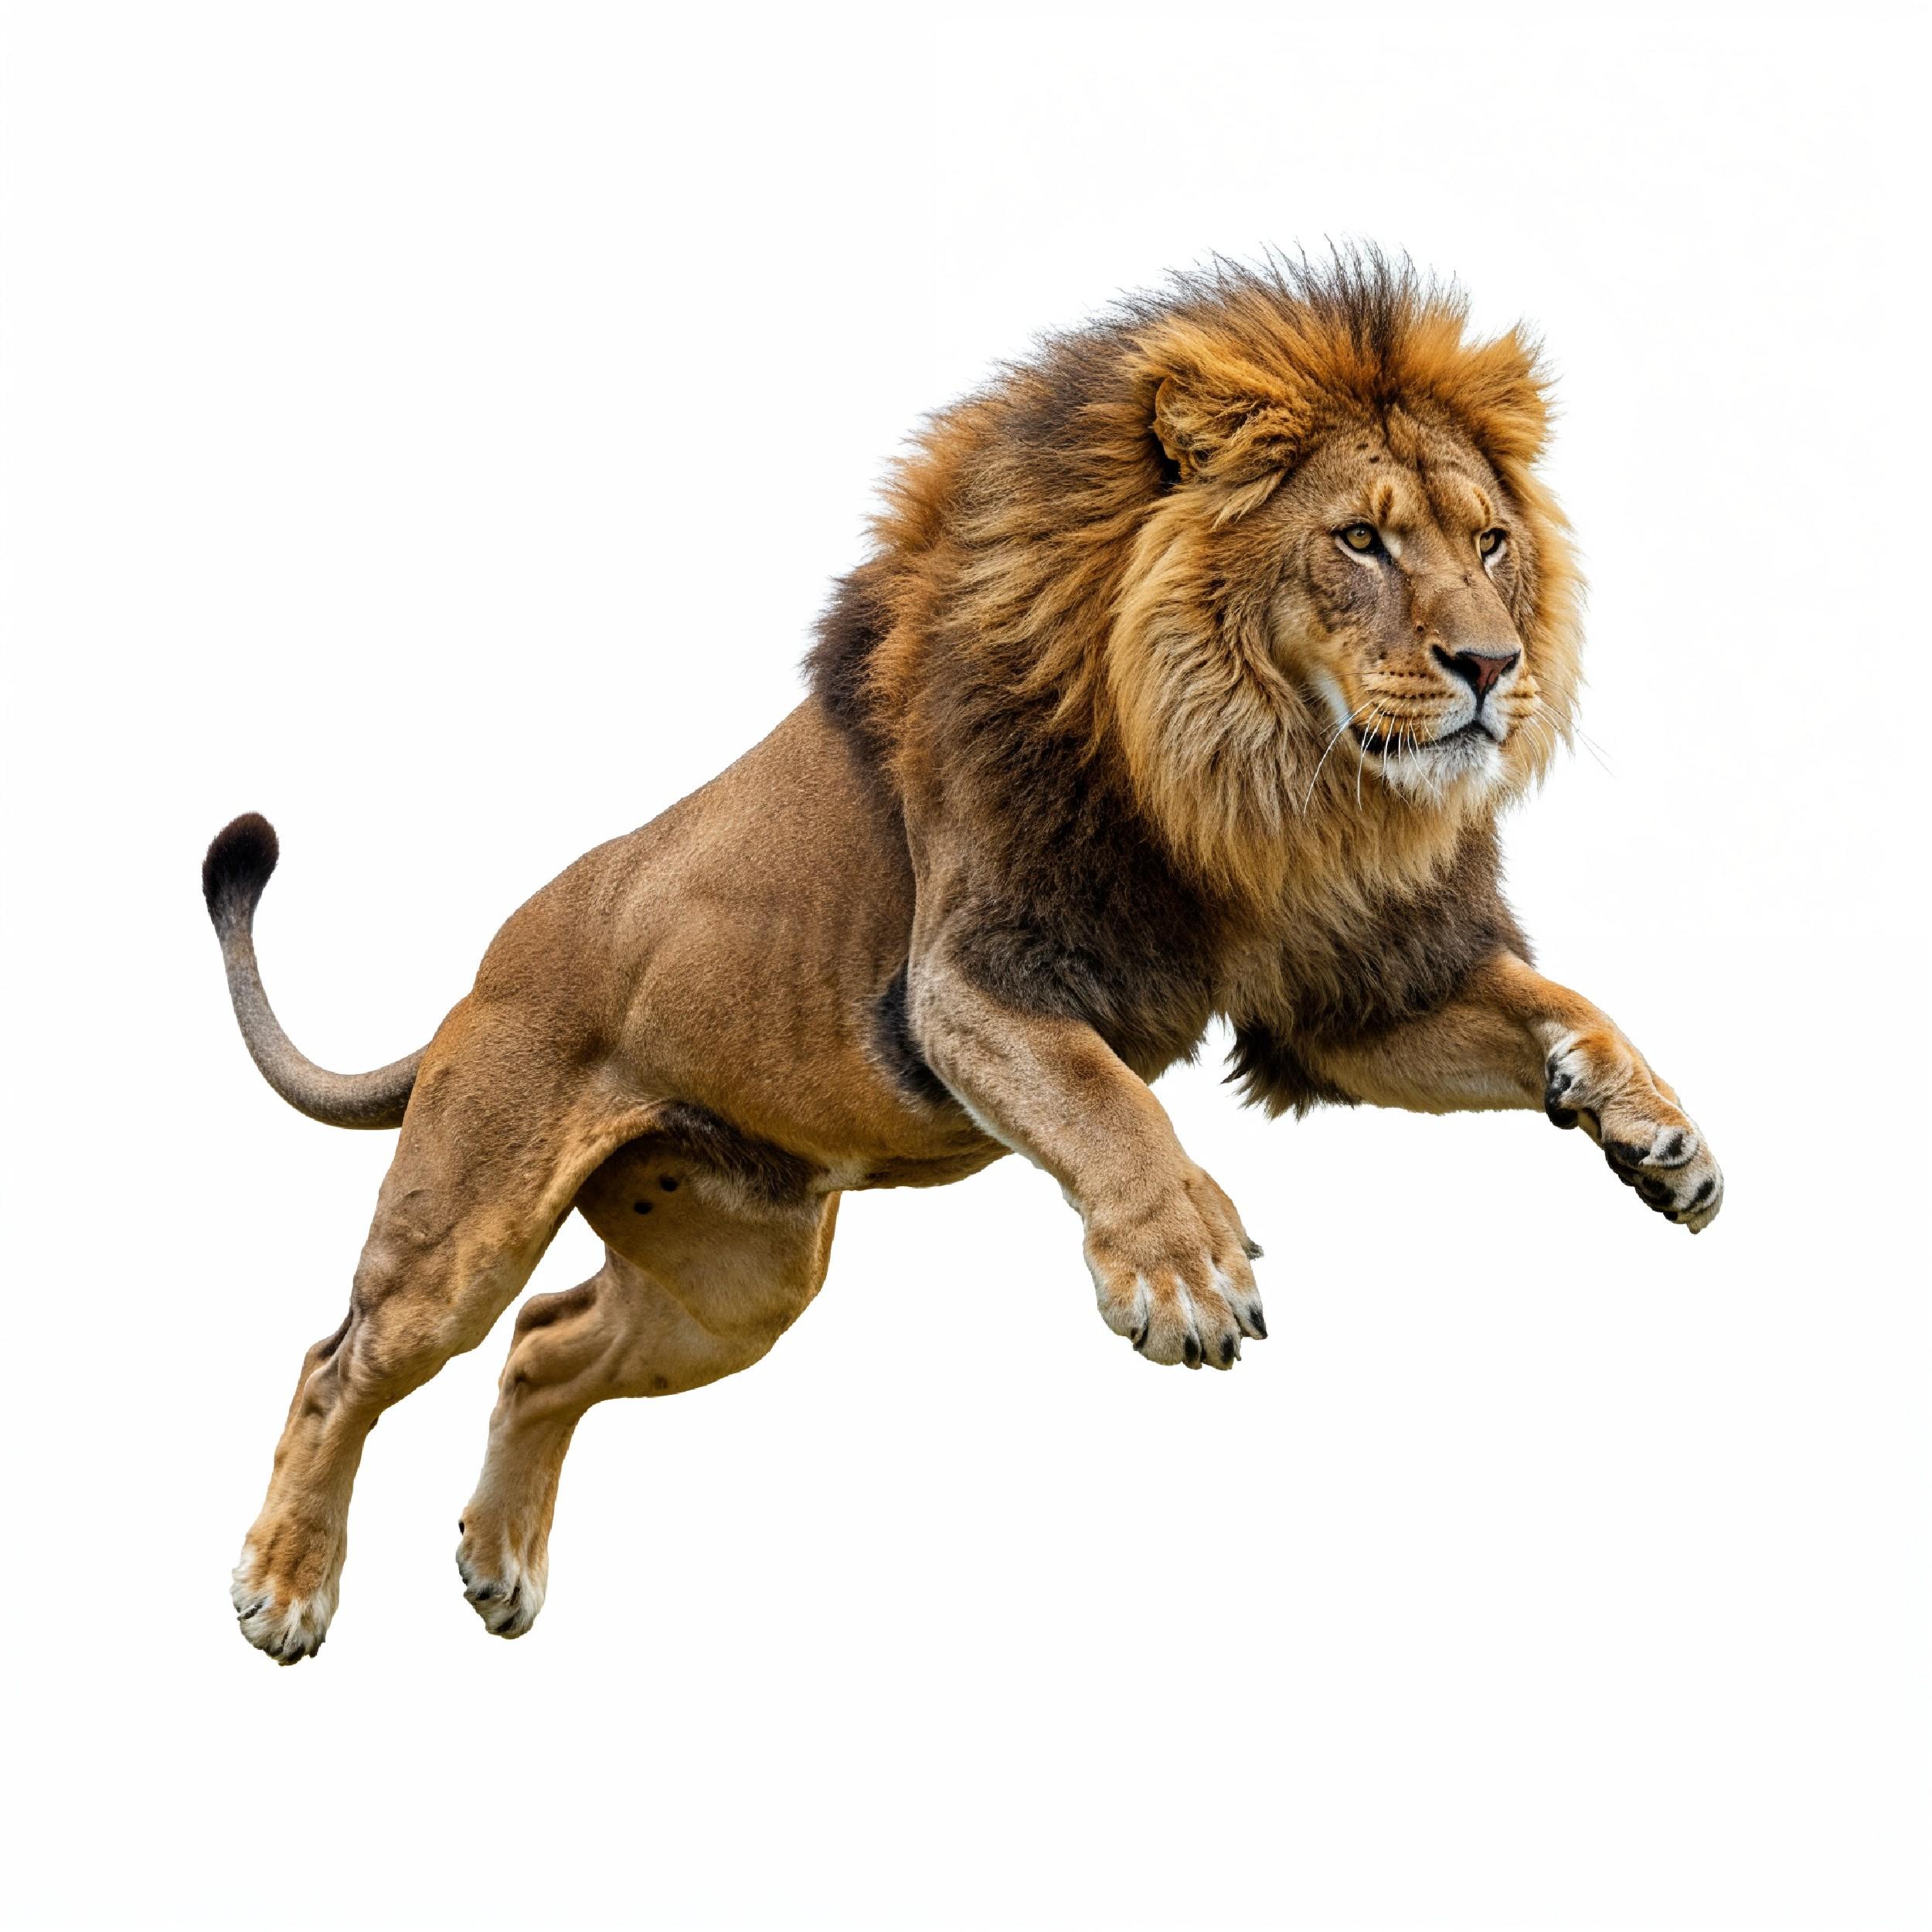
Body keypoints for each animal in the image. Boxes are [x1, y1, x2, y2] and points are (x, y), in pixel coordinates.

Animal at [205, 252, 1722, 1663]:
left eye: (1490, 541)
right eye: (1359, 539)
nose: (1493, 667)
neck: (1263, 779)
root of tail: (481, 971)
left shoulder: (1354, 1000)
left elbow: (1555, 1003)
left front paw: (1653, 1128)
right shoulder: (971, 982)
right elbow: (1115, 1105)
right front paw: (1182, 1272)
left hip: (739, 1282)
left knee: (542, 1348)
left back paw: (499, 1561)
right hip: (464, 1222)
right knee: (346, 1360)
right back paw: (286, 1586)